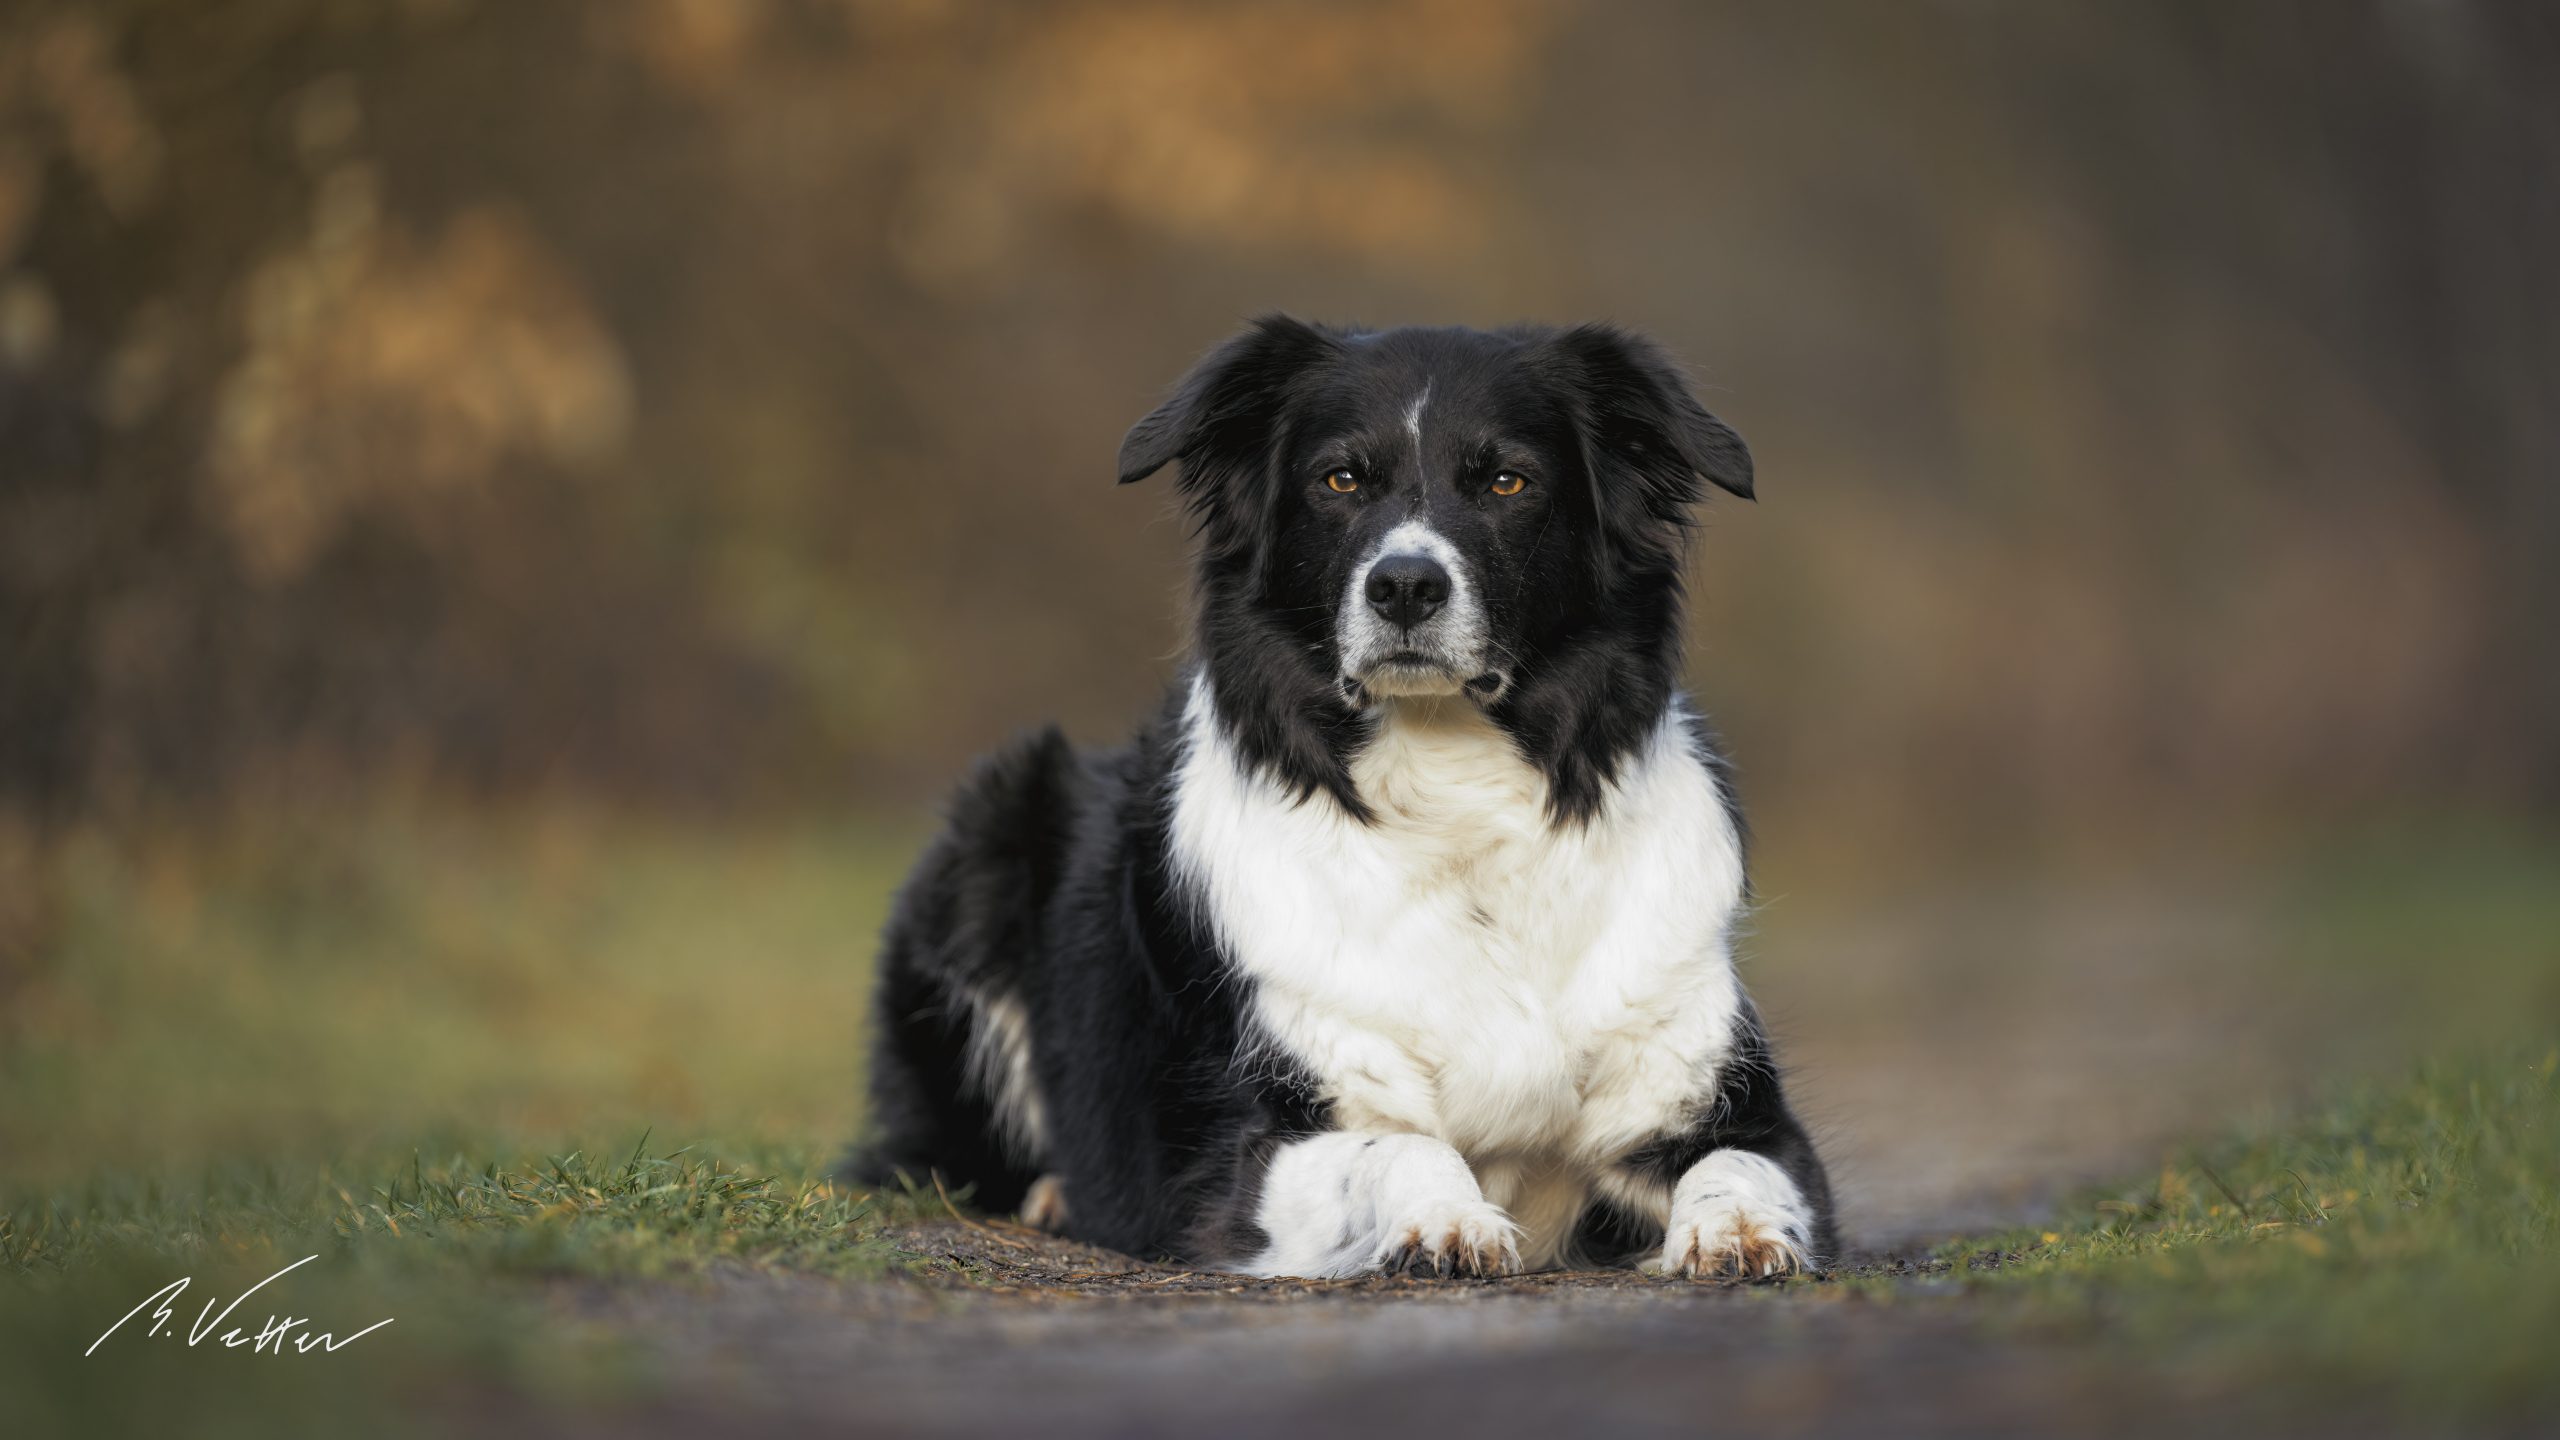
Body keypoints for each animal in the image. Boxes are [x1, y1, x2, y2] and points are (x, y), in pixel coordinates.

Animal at [849, 319, 1832, 1270]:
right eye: (1342, 479)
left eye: (1508, 481)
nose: (1404, 585)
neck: (1451, 791)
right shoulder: (1246, 1154)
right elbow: (1400, 1144)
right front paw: (1448, 1220)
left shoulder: (1743, 1114)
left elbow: (1737, 1163)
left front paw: (1737, 1233)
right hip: (991, 830)